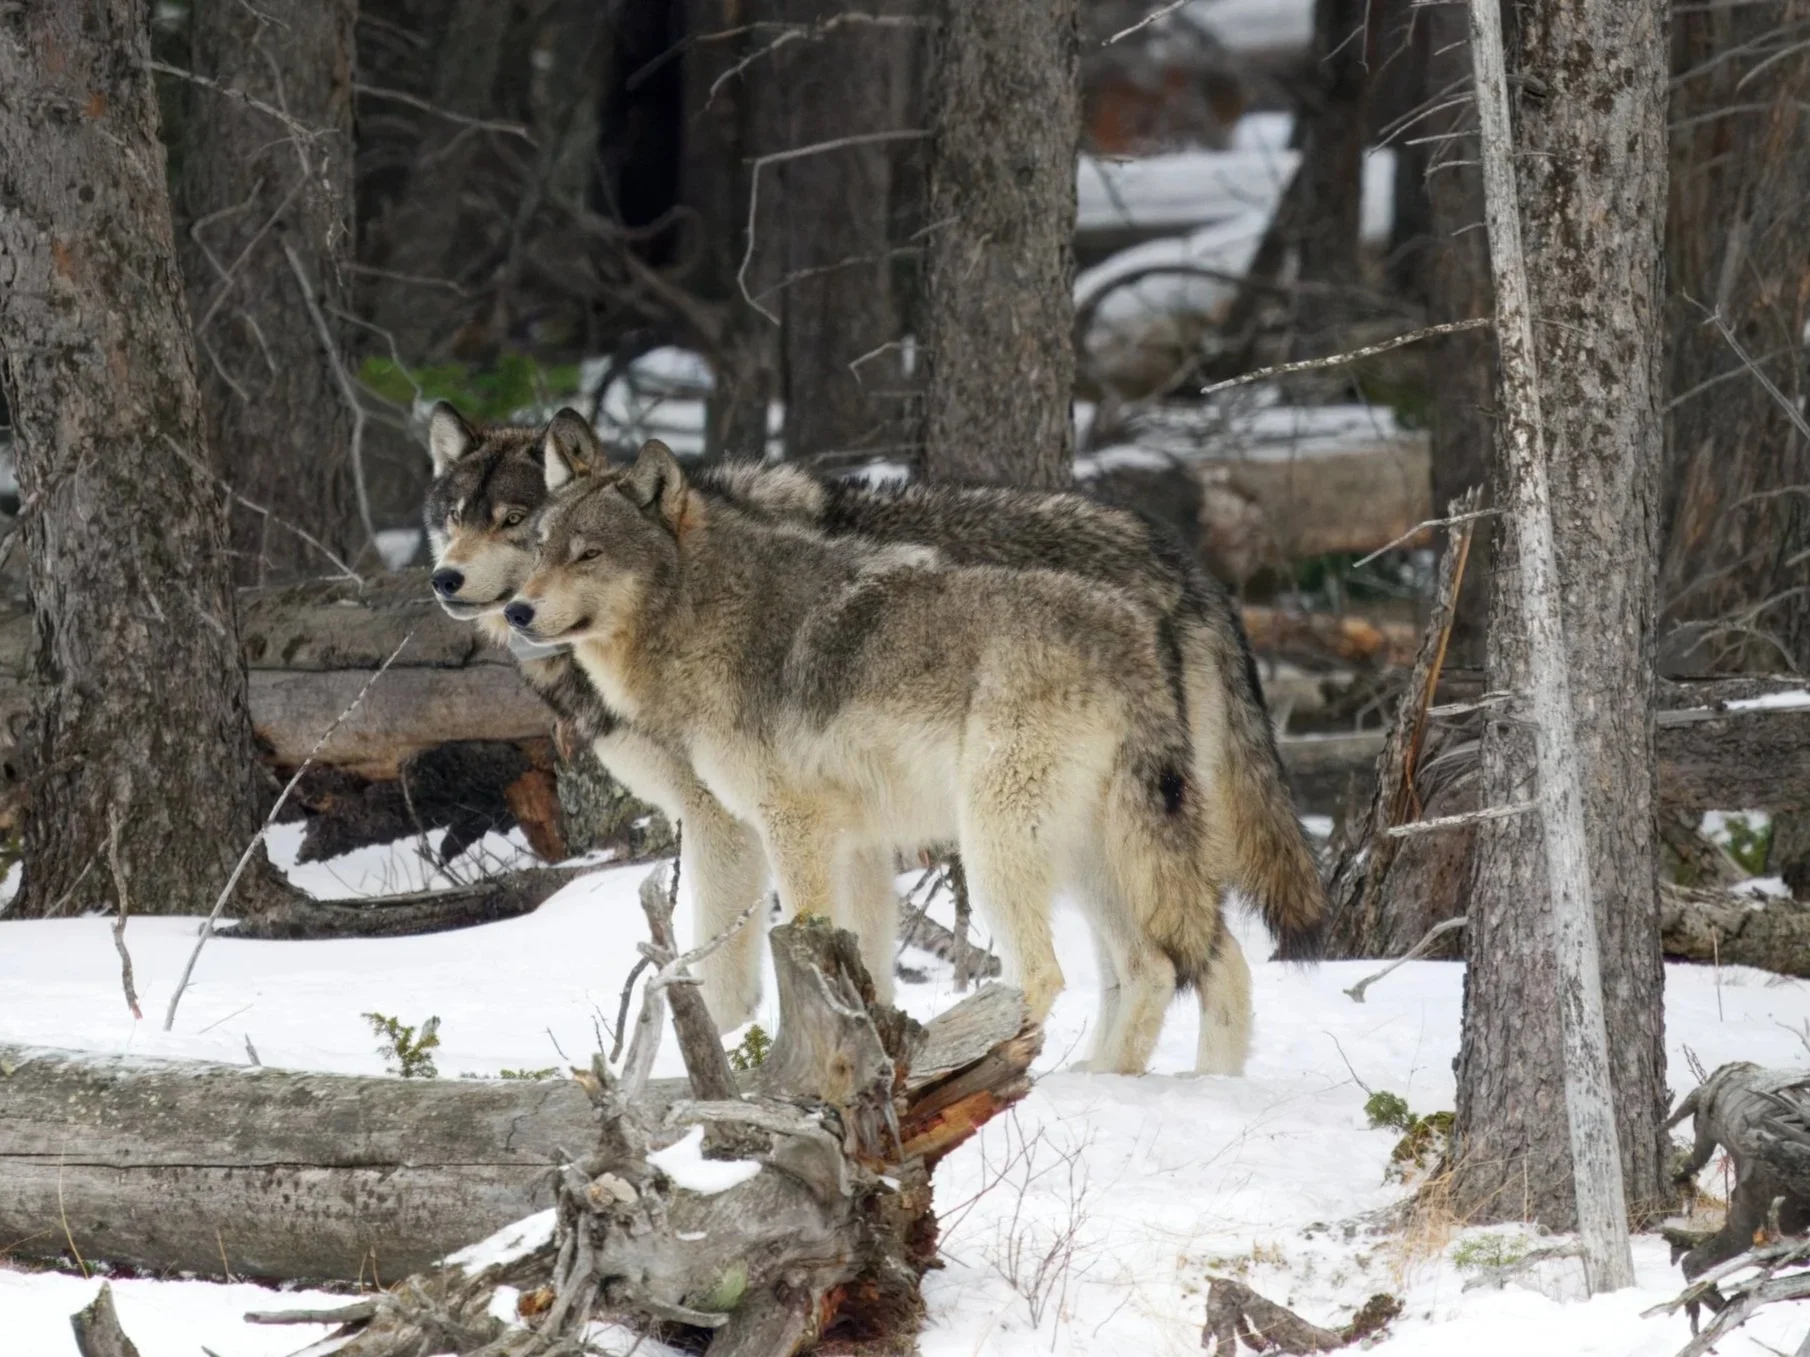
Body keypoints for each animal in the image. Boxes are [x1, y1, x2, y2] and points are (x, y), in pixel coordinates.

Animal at [505, 436, 1289, 1075]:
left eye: (588, 553)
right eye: (538, 547)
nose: (516, 610)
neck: (706, 617)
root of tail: (1140, 632)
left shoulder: (788, 827)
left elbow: (794, 948)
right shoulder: (857, 845)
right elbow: (863, 971)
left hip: (1002, 842)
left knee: (1052, 972)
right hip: (1099, 855)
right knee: (1177, 963)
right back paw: (1144, 1083)